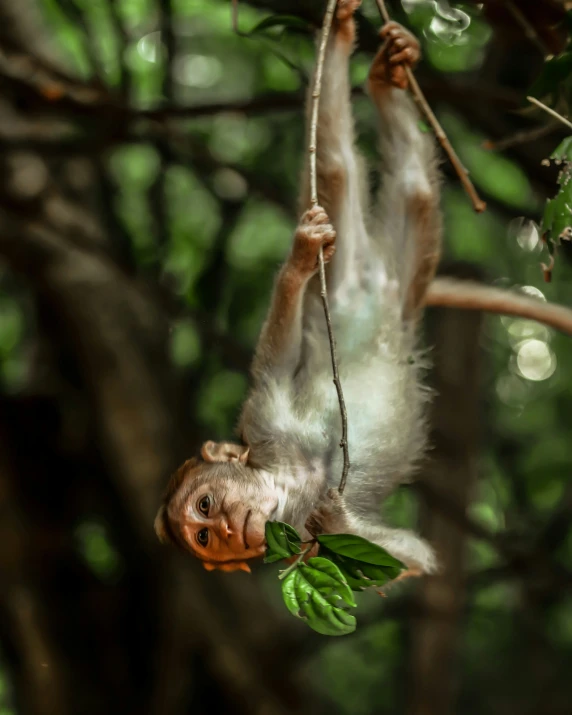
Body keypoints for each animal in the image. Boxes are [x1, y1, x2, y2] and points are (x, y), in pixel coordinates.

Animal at [155, 2, 442, 580]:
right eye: (204, 539)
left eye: (206, 505)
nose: (227, 531)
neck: (296, 481)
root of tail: (368, 276)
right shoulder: (305, 544)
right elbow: (409, 558)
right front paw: (341, 519)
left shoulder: (264, 421)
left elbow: (276, 363)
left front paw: (297, 262)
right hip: (389, 277)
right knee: (403, 186)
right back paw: (379, 75)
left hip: (338, 278)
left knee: (333, 166)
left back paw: (368, 56)